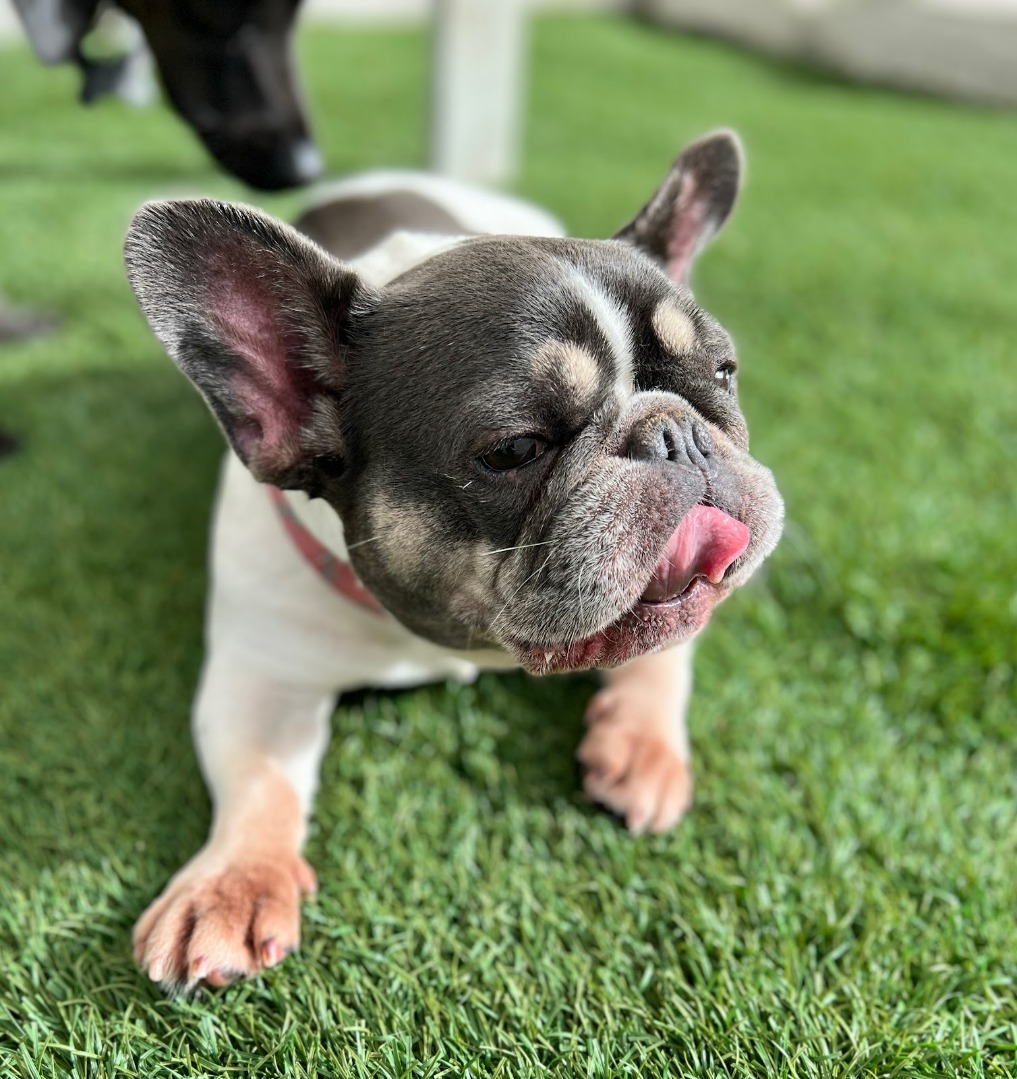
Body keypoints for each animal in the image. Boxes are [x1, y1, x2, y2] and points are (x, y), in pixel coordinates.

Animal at [123, 130, 784, 990]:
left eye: (722, 376)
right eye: (514, 449)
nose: (675, 433)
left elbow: (664, 654)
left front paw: (641, 747)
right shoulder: (260, 672)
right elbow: (261, 773)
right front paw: (230, 881)